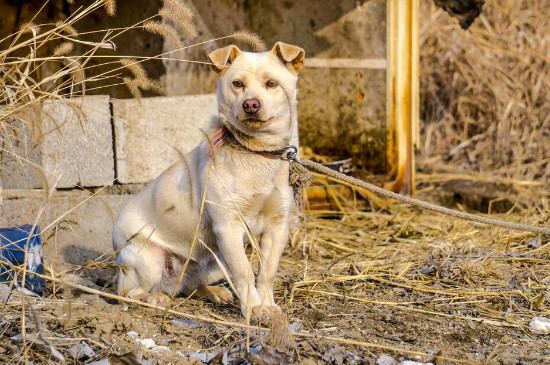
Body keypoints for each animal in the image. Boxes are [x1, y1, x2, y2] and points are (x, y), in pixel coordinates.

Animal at [113, 41, 306, 318]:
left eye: (271, 83)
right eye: (237, 84)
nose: (251, 104)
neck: (256, 151)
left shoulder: (277, 227)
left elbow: (266, 273)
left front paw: (268, 306)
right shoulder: (229, 227)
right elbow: (245, 273)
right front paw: (254, 309)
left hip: (215, 260)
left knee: (189, 286)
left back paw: (214, 292)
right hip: (148, 260)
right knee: (128, 294)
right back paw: (154, 298)